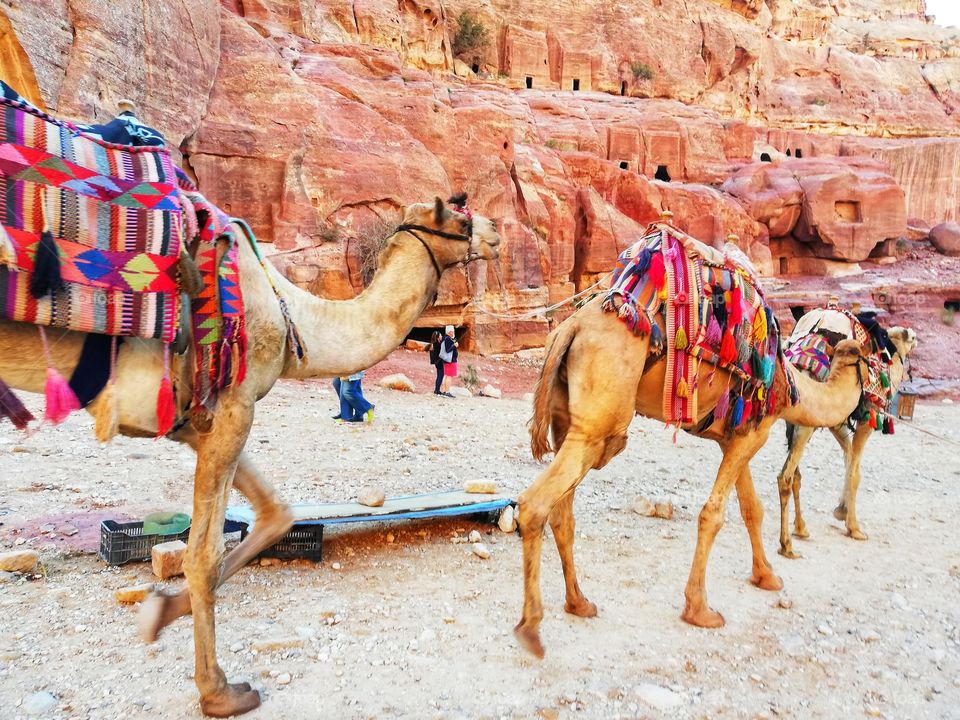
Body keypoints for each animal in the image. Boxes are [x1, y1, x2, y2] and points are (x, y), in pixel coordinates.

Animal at [0, 197, 500, 717]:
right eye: (462, 217)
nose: (496, 232)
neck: (291, 315)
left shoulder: (199, 420)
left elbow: (276, 514)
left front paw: (160, 611)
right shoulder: (235, 403)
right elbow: (204, 554)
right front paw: (219, 691)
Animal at [514, 295, 867, 659]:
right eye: (873, 355)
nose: (877, 401)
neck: (789, 385)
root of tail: (570, 327)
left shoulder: (736, 437)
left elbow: (751, 509)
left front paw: (767, 576)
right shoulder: (756, 433)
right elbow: (713, 514)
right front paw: (700, 610)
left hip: (568, 423)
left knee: (562, 514)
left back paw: (579, 603)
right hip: (597, 424)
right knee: (535, 504)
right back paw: (531, 629)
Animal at [776, 312, 917, 558]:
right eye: (913, 337)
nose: (917, 341)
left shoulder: (837, 419)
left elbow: (849, 457)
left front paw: (841, 510)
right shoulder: (867, 416)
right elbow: (855, 470)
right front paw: (854, 527)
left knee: (795, 474)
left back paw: (801, 528)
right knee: (786, 476)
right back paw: (787, 546)